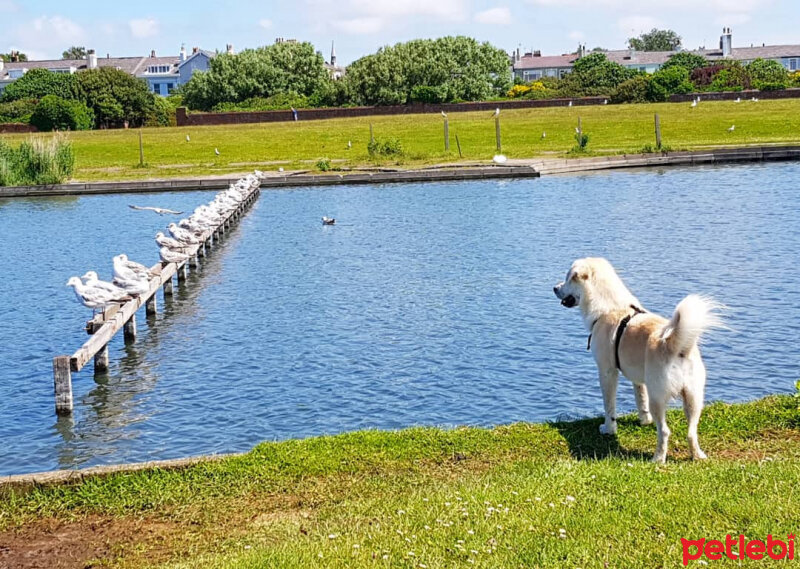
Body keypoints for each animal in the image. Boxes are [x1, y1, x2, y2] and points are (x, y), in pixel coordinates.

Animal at [552, 258, 720, 462]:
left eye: (569, 278)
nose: (554, 288)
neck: (610, 308)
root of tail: (677, 347)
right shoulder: (639, 380)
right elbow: (640, 399)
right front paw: (644, 421)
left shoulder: (607, 373)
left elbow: (609, 406)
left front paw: (608, 429)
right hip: (694, 397)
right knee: (691, 432)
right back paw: (697, 456)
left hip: (659, 397)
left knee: (665, 431)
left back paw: (658, 459)